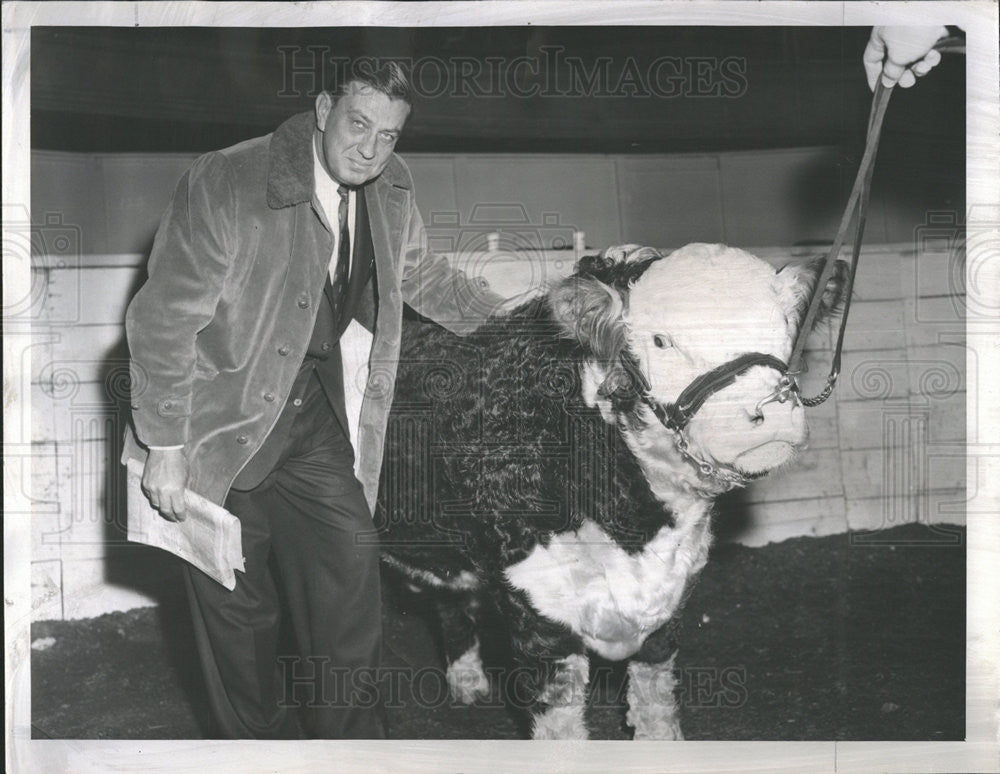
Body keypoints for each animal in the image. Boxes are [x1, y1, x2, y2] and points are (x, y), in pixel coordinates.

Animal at [378, 242, 848, 740]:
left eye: (784, 325)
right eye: (661, 341)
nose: (770, 409)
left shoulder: (667, 608)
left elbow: (655, 707)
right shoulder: (540, 616)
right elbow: (561, 732)